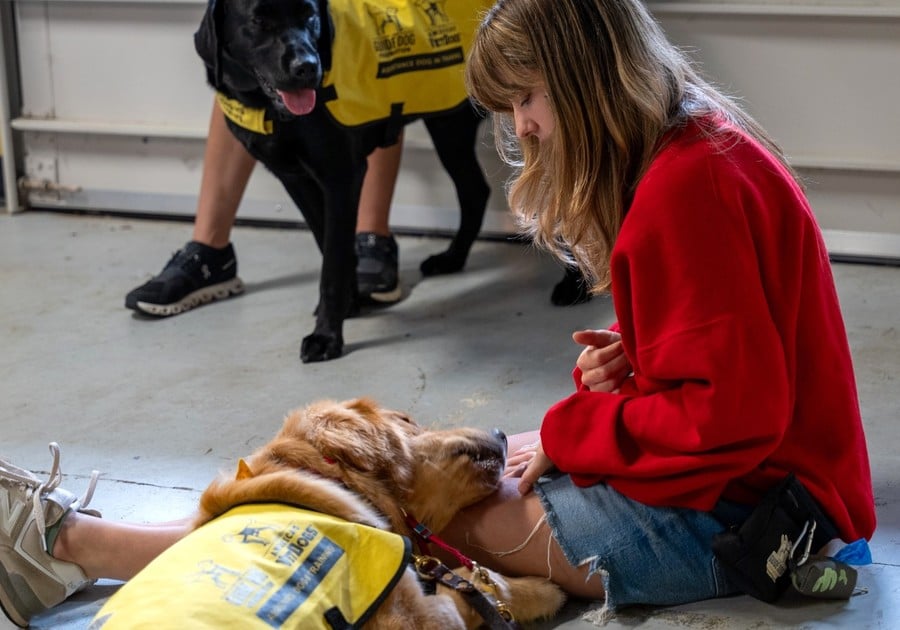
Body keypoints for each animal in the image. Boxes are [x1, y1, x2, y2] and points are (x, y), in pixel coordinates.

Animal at [193, 0, 500, 362]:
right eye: (258, 21)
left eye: (309, 15)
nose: (307, 67)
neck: (266, 107)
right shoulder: (296, 180)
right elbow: (328, 244)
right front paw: (349, 304)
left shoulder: (342, 177)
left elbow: (333, 263)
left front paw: (327, 335)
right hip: (449, 128)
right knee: (475, 191)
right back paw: (452, 258)